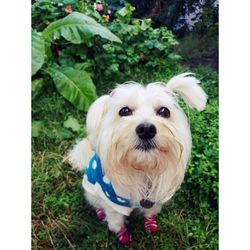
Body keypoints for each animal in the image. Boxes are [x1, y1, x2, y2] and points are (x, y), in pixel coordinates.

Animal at [66, 72, 207, 244]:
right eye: (124, 111)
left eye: (164, 111)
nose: (146, 129)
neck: (142, 169)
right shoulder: (112, 201)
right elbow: (116, 220)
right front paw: (122, 234)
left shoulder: (154, 197)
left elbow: (150, 212)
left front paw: (150, 224)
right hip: (92, 193)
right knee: (96, 204)